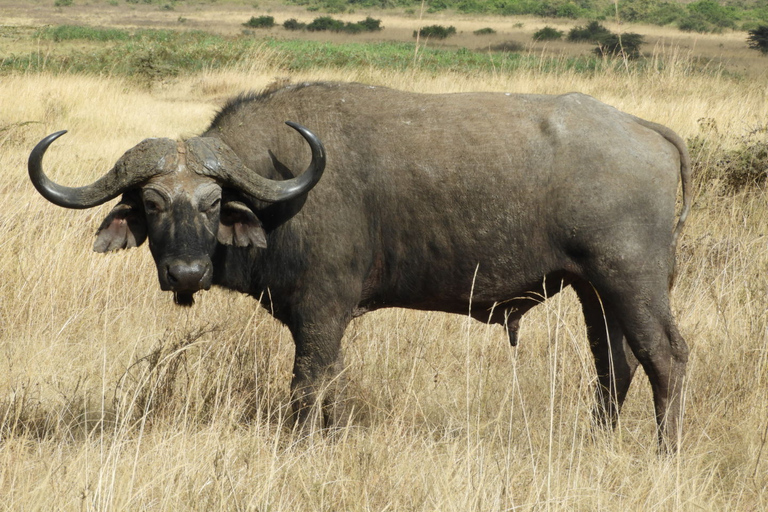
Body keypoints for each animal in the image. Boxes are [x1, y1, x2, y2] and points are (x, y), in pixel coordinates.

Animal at [28, 80, 688, 448]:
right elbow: (332, 387)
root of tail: (644, 130)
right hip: (594, 291)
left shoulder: (320, 315)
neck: (278, 192)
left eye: (213, 202)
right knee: (614, 365)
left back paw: (666, 450)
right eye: (153, 202)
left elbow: (307, 386)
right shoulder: (325, 324)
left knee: (665, 357)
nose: (186, 275)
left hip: (632, 282)